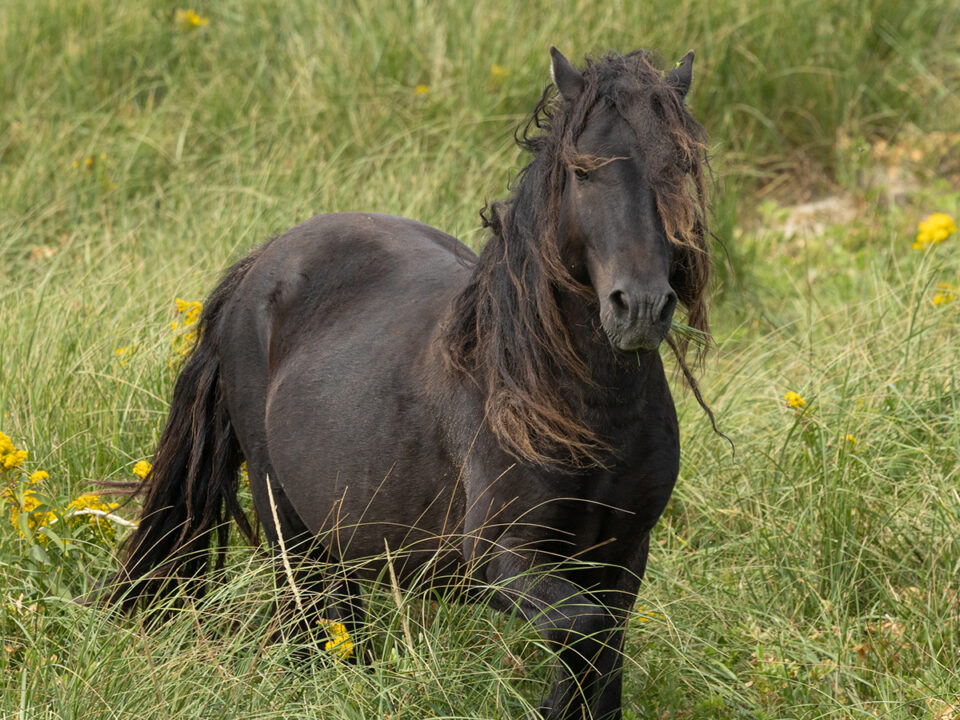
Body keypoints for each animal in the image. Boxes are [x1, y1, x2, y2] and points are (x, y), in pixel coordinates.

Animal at [110, 46, 712, 720]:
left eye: (681, 168)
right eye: (582, 173)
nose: (640, 307)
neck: (578, 410)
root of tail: (263, 262)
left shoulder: (624, 553)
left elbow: (604, 654)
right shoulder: (502, 558)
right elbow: (586, 631)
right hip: (284, 517)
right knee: (308, 623)